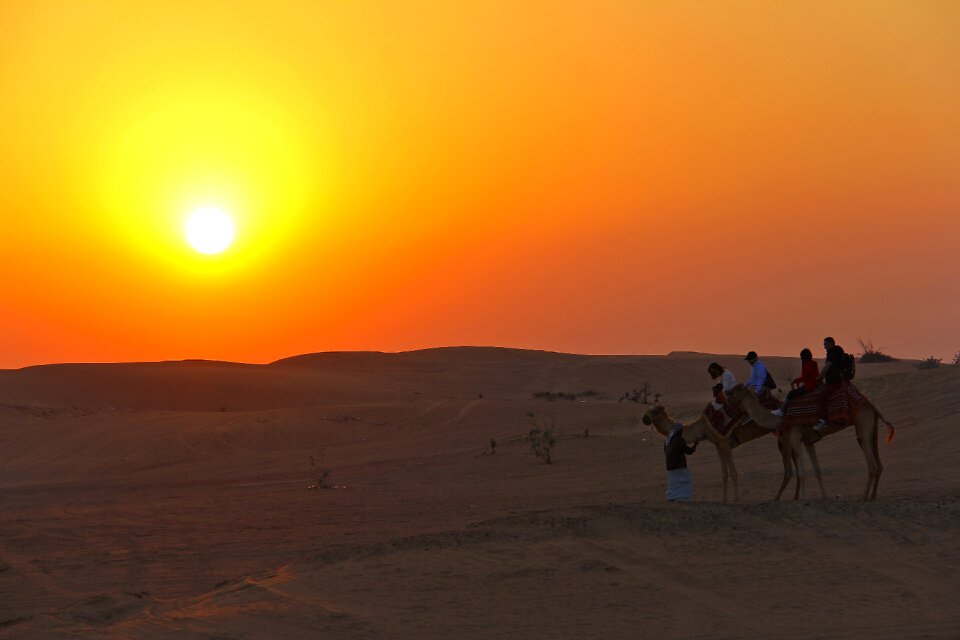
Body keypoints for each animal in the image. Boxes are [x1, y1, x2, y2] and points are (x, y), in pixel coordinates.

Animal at [644, 404, 796, 504]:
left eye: (655, 411)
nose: (644, 418)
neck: (702, 427)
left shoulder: (725, 443)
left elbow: (733, 473)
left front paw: (736, 499)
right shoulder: (718, 445)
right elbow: (724, 474)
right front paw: (724, 500)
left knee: (789, 469)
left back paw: (778, 498)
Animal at [732, 382, 896, 502]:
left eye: (736, 389)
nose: (727, 393)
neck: (781, 418)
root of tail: (872, 406)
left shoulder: (795, 436)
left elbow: (802, 472)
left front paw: (803, 499)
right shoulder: (808, 441)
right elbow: (817, 471)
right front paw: (824, 497)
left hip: (862, 423)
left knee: (872, 465)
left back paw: (864, 497)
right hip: (872, 429)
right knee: (878, 463)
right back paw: (873, 496)